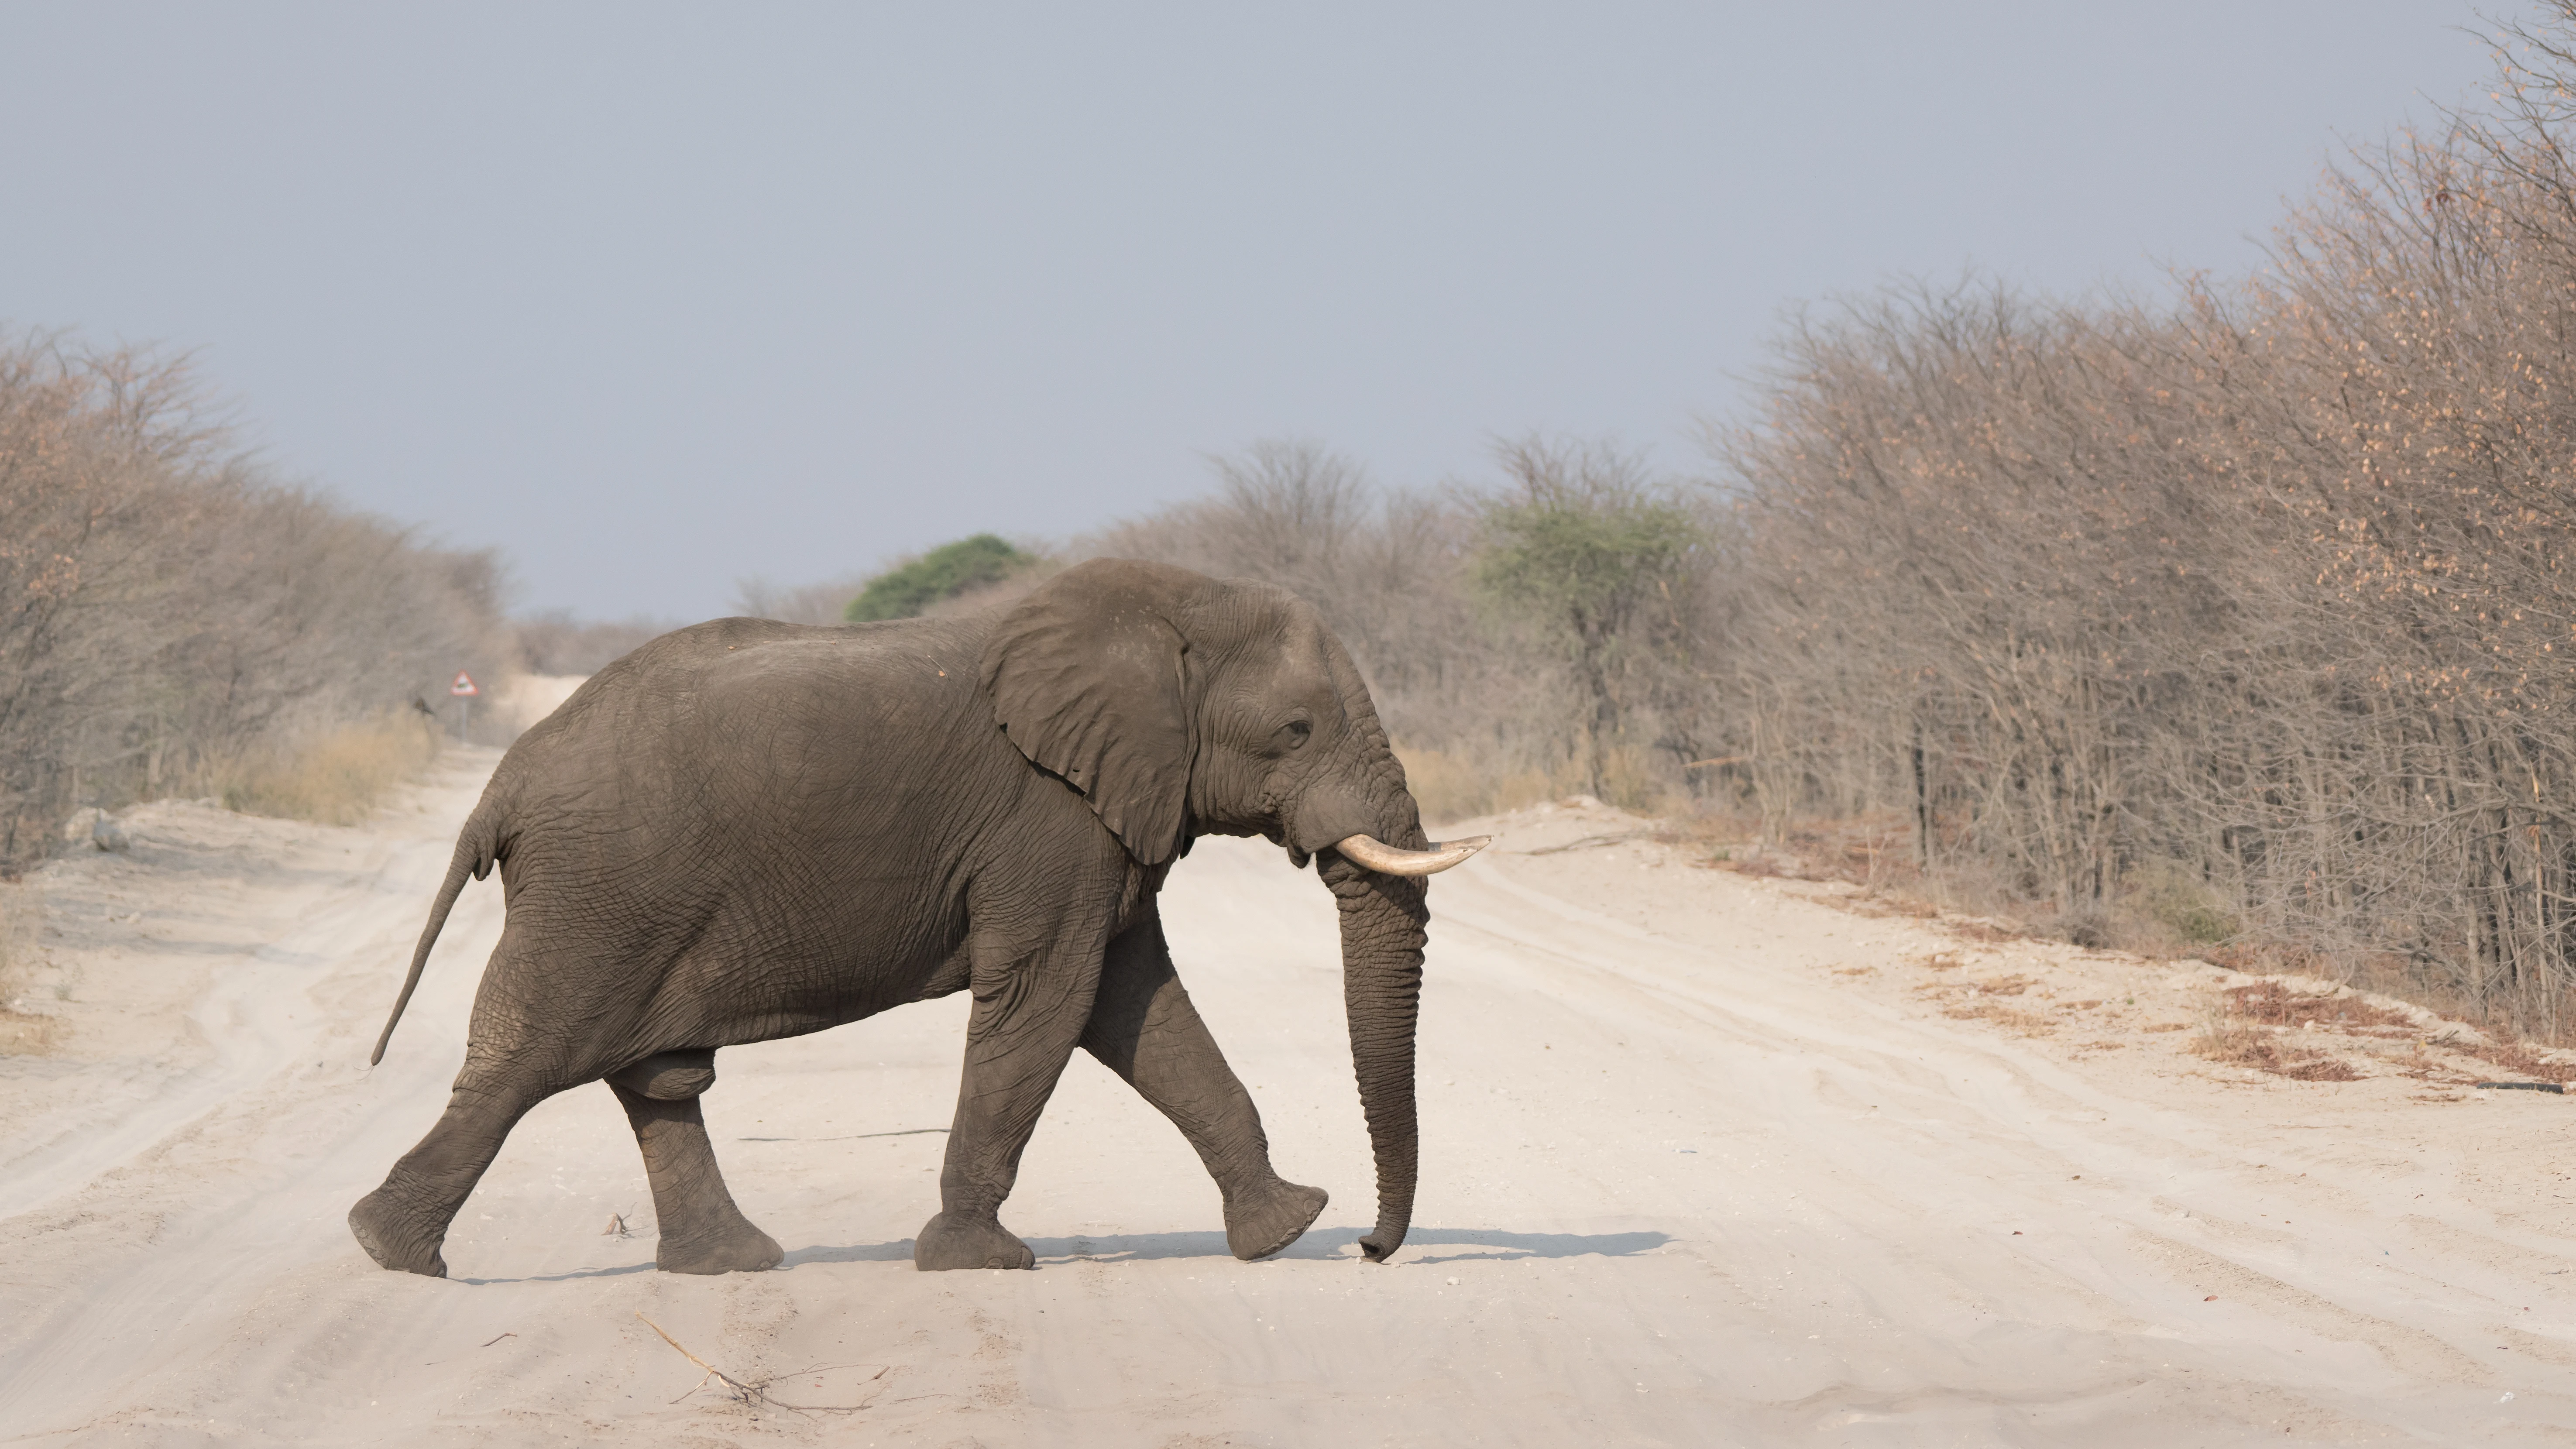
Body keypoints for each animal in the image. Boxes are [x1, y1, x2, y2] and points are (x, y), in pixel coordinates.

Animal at [348, 557, 1489, 1277]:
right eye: (1295, 730)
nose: (1372, 1248)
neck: (1165, 604)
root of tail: (501, 787)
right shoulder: (1046, 819)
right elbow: (1048, 1000)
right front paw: (980, 1263)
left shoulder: (1100, 824)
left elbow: (1136, 1007)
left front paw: (1285, 1229)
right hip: (603, 894)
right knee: (530, 1060)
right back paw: (389, 1252)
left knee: (651, 1076)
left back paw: (730, 1266)